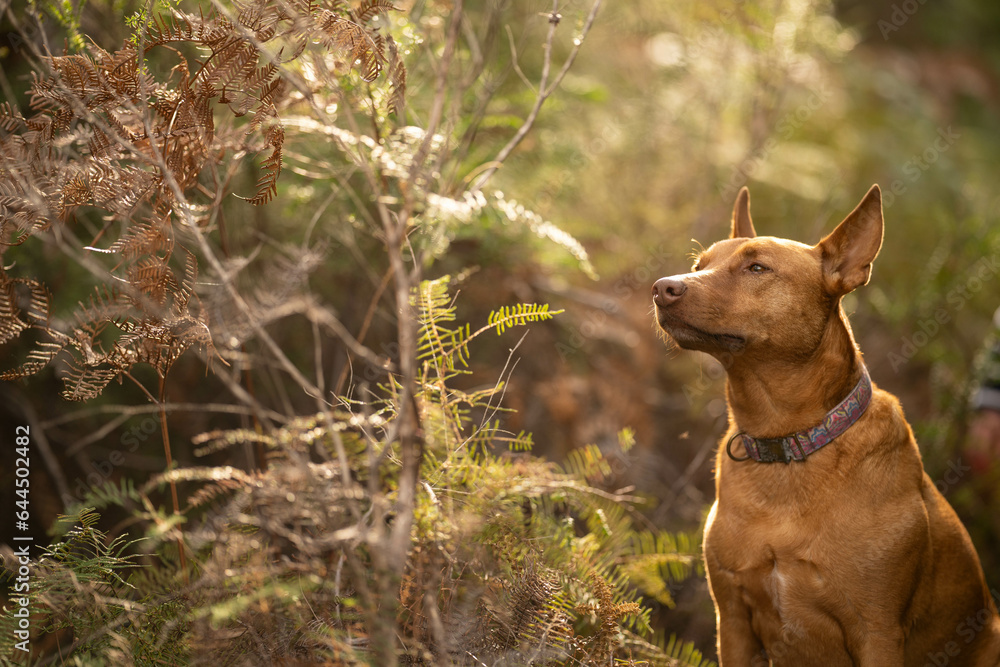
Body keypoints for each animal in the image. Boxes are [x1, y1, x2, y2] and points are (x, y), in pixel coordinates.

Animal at [652, 184, 996, 667]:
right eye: (700, 266)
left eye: (757, 268)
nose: (661, 288)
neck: (784, 443)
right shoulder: (733, 621)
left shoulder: (877, 633)